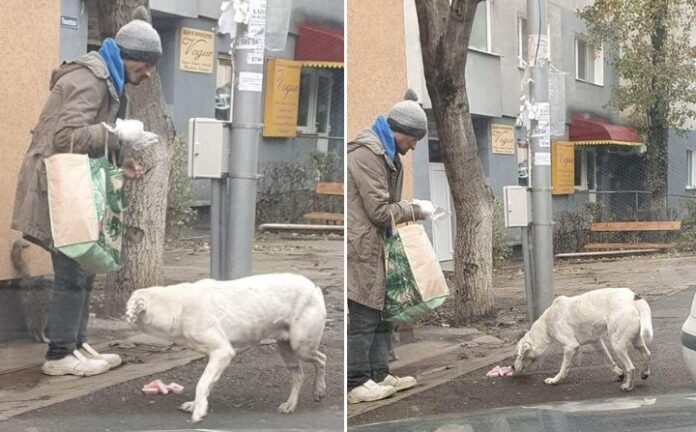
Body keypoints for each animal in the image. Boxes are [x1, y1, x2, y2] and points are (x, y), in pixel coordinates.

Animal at [125, 274, 328, 422]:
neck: (176, 307)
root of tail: (314, 287)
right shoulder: (215, 357)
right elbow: (207, 383)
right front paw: (197, 404)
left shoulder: (222, 352)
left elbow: (201, 383)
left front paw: (198, 411)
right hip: (286, 348)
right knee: (299, 375)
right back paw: (291, 404)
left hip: (301, 345)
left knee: (322, 360)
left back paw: (319, 390)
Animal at [512, 286, 652, 392]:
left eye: (518, 355)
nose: (512, 367)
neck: (546, 324)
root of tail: (632, 297)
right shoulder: (597, 342)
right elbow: (608, 360)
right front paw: (618, 373)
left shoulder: (570, 347)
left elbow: (563, 368)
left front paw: (555, 380)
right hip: (636, 340)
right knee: (647, 354)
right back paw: (644, 373)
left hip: (617, 344)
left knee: (631, 368)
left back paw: (628, 387)